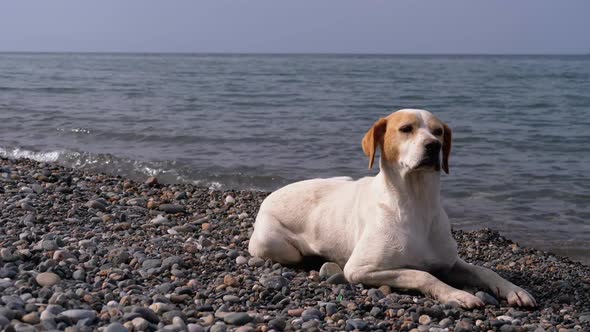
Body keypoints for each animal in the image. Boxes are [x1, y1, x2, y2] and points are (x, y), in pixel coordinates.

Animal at [249, 109, 536, 308]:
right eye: (406, 129)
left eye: (439, 132)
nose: (434, 145)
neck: (416, 203)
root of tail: (271, 194)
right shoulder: (360, 269)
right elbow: (422, 275)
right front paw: (458, 295)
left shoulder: (450, 262)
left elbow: (485, 270)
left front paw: (515, 290)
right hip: (272, 244)